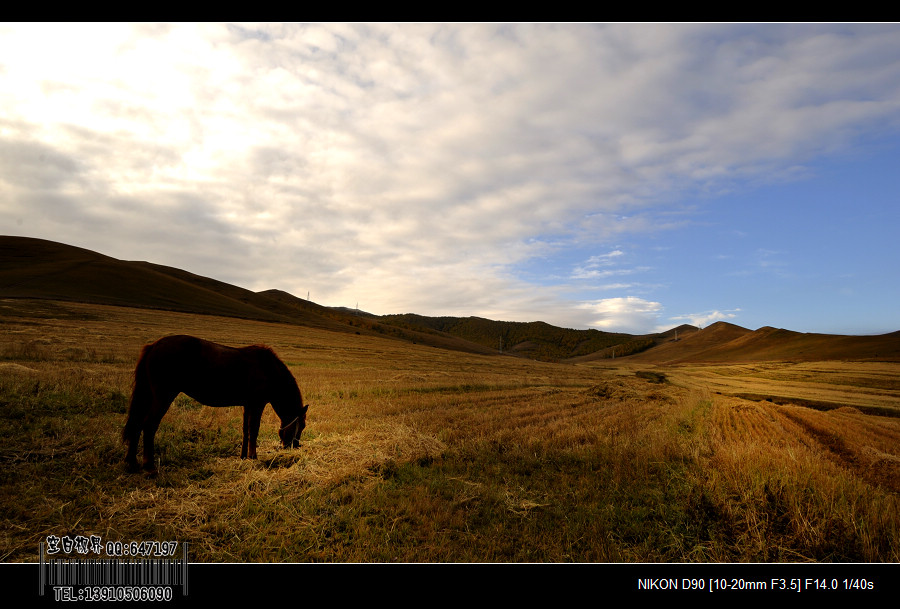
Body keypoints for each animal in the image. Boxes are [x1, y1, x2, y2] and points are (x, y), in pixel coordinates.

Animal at [122, 334, 310, 472]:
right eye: (301, 426)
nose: (294, 446)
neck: (268, 368)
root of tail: (154, 346)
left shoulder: (248, 404)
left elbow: (246, 430)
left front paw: (244, 456)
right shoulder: (257, 404)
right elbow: (254, 430)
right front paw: (253, 457)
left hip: (148, 395)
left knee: (137, 424)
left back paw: (132, 464)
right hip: (163, 397)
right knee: (149, 426)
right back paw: (149, 466)